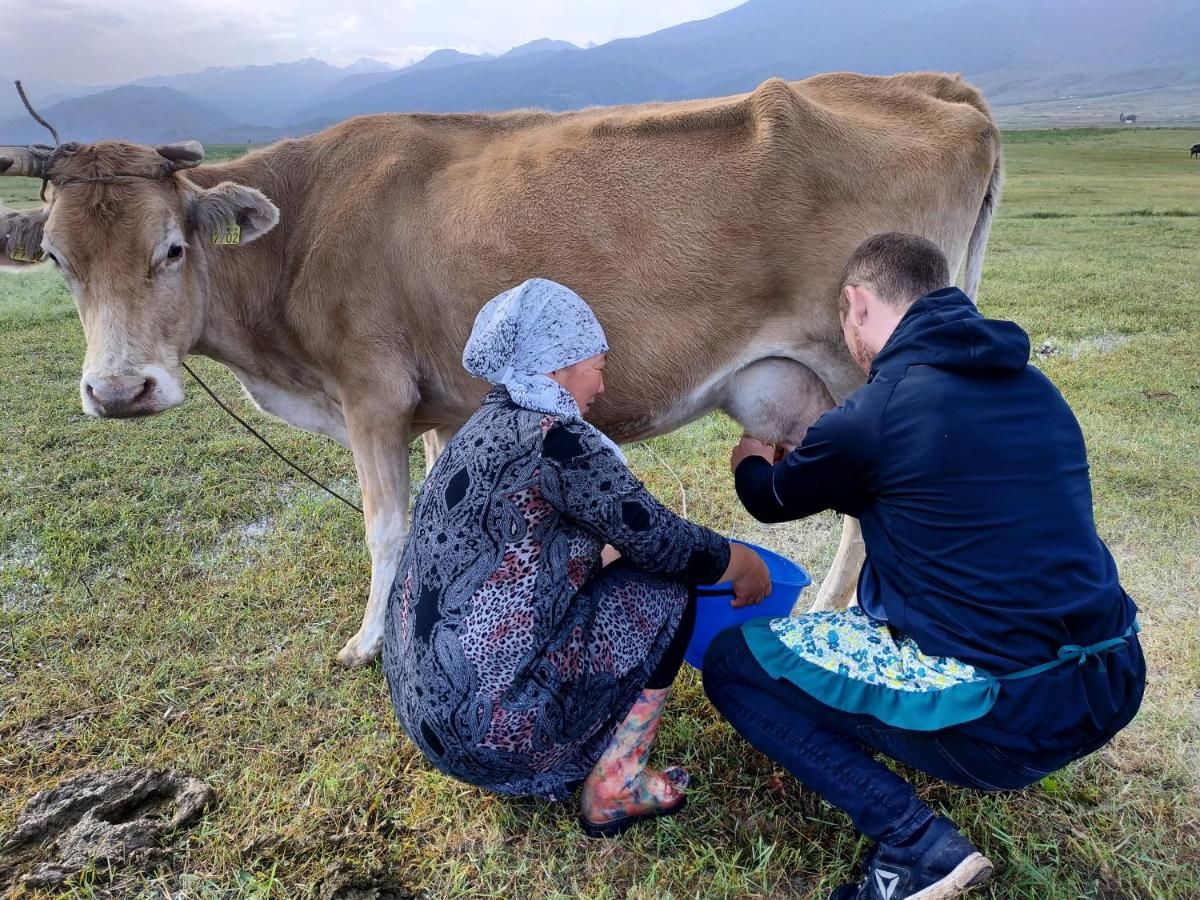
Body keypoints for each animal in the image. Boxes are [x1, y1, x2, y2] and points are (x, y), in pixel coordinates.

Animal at [0, 72, 1003, 672]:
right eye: (56, 260)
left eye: (171, 249)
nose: (119, 391)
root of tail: (926, 87)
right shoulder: (442, 400)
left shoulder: (371, 393)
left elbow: (386, 530)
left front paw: (368, 644)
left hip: (864, 370)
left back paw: (825, 617)